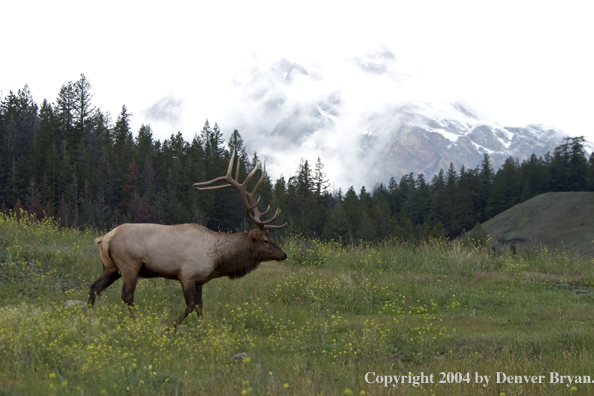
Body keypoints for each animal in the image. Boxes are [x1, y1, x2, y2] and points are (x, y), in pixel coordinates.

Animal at [87, 152, 286, 324]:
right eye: (266, 240)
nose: (284, 254)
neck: (217, 259)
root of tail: (105, 238)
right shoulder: (188, 276)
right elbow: (190, 306)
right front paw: (170, 327)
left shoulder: (200, 281)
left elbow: (200, 308)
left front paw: (203, 330)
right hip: (129, 265)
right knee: (126, 296)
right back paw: (140, 321)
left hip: (111, 267)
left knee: (94, 287)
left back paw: (87, 316)